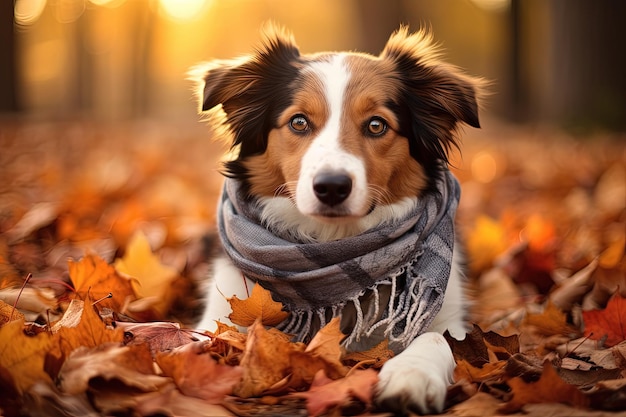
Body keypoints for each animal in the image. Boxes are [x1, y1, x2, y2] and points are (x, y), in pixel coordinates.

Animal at [193, 25, 480, 412]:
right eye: (299, 122)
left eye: (376, 125)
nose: (331, 187)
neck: (334, 242)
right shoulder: (225, 306)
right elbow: (199, 340)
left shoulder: (449, 316)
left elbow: (437, 339)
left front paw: (411, 376)